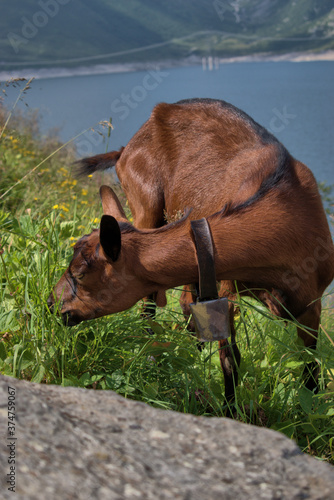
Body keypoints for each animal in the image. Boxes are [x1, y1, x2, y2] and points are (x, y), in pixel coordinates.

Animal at [49, 99, 334, 404]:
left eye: (80, 273)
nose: (52, 305)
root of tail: (127, 146)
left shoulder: (310, 303)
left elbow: (310, 366)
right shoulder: (224, 286)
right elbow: (230, 359)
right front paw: (229, 409)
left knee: (183, 303)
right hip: (146, 205)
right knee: (151, 305)